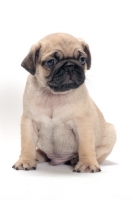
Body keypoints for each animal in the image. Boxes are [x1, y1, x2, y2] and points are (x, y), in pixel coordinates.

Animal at [12, 32, 116, 172]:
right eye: (51, 62)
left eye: (82, 59)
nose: (70, 66)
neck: (54, 96)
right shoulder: (29, 122)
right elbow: (27, 144)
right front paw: (26, 161)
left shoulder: (83, 123)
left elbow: (86, 146)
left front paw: (87, 164)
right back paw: (37, 156)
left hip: (111, 135)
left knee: (97, 152)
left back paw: (76, 159)